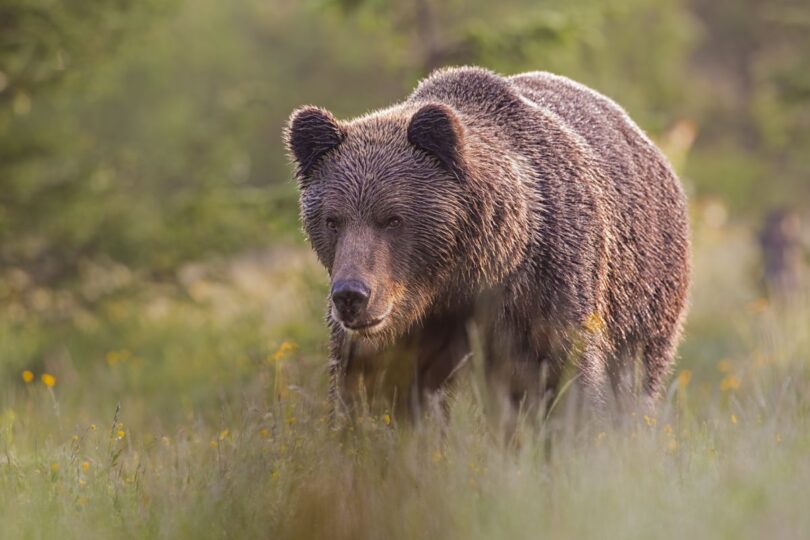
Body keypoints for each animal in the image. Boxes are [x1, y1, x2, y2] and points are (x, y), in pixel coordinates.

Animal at [284, 67, 688, 420]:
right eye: (332, 220)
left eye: (393, 218)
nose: (351, 295)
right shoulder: (404, 333)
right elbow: (376, 392)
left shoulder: (547, 288)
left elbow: (565, 378)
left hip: (644, 296)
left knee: (634, 378)